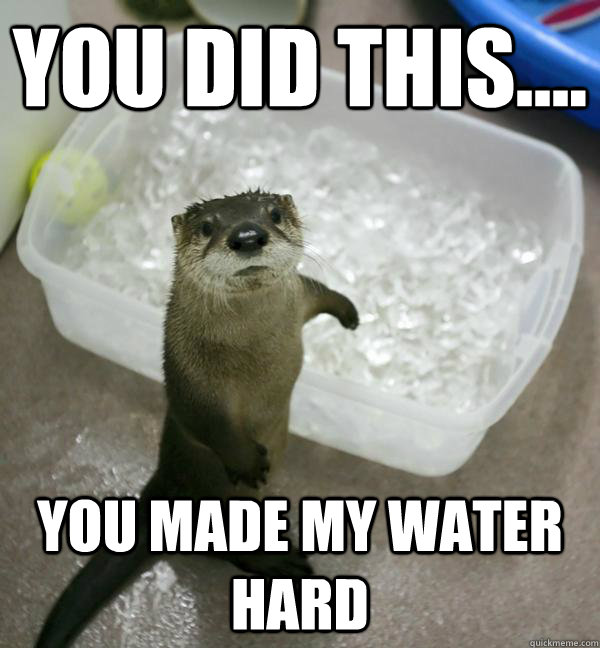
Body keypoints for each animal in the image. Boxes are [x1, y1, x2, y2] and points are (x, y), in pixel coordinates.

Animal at [36, 190, 359, 647]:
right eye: (208, 226)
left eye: (274, 214)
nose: (248, 235)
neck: (253, 346)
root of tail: (164, 487)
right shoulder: (192, 381)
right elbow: (208, 424)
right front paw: (248, 463)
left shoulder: (298, 296)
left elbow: (320, 290)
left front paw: (348, 311)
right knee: (229, 550)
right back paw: (279, 561)